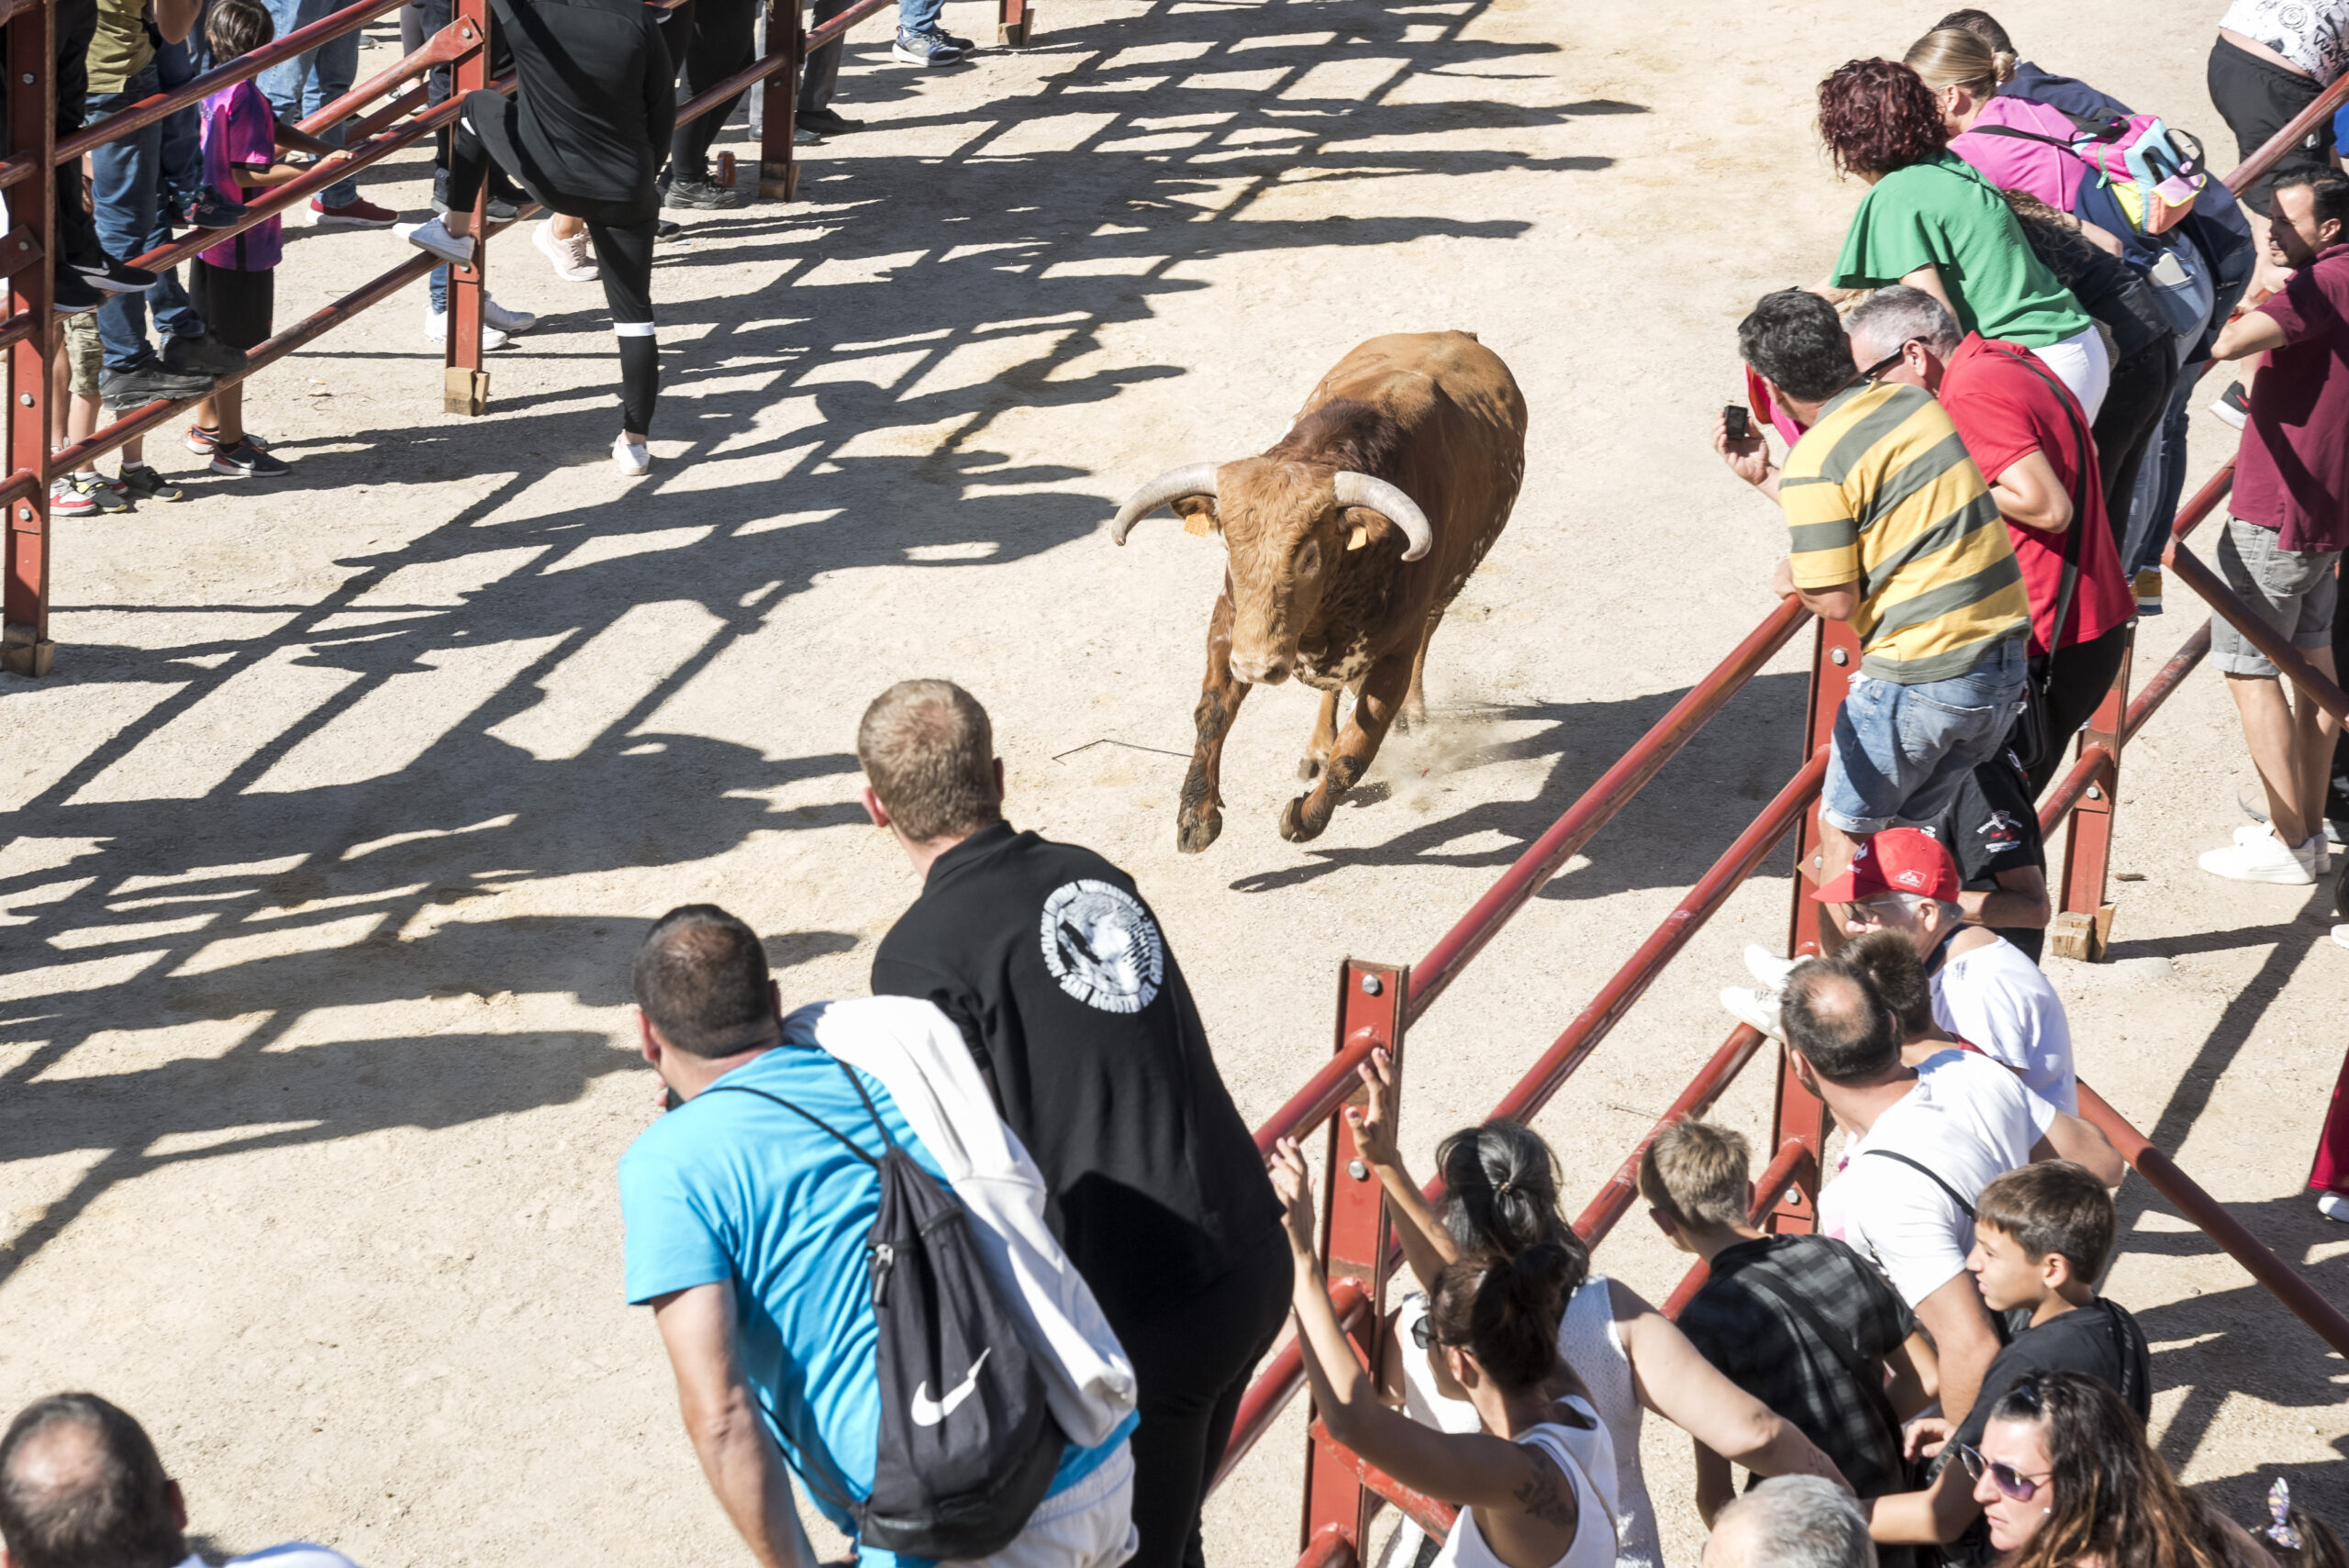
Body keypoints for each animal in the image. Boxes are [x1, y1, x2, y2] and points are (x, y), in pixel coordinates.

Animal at [1113, 324, 1531, 850]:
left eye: (1309, 554)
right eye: (1228, 544)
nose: (1258, 667)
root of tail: (1461, 334)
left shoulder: (1393, 655)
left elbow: (1355, 751)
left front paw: (1304, 818)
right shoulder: (1230, 624)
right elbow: (1212, 713)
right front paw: (1196, 815)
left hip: (1449, 587)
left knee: (1424, 638)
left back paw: (1412, 712)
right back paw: (1316, 746)